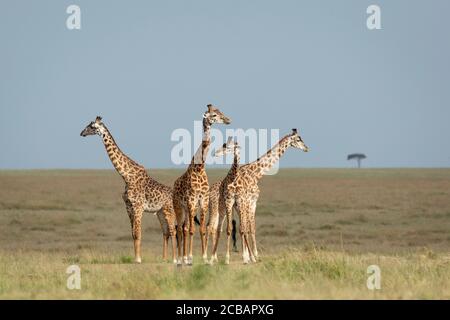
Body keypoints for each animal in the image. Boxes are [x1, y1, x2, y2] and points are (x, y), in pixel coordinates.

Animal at [80, 116, 178, 264]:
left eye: (92, 126)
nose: (82, 133)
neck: (126, 176)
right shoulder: (128, 207)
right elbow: (133, 233)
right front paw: (135, 258)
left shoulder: (138, 207)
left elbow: (138, 233)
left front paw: (138, 259)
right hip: (160, 212)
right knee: (166, 232)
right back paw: (164, 259)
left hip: (169, 210)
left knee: (173, 231)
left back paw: (175, 259)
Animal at [171, 105, 230, 264]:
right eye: (214, 115)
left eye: (221, 111)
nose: (228, 119)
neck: (199, 167)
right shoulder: (191, 201)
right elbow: (192, 230)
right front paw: (191, 257)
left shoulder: (202, 201)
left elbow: (202, 229)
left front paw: (204, 257)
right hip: (179, 207)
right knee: (181, 229)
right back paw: (181, 258)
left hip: (189, 209)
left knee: (185, 227)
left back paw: (184, 257)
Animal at [208, 136, 243, 264]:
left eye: (228, 147)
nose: (215, 153)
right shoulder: (228, 203)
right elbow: (229, 229)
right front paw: (227, 259)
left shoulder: (237, 204)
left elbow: (241, 228)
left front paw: (247, 257)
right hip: (217, 209)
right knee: (214, 228)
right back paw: (210, 258)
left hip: (221, 211)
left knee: (217, 229)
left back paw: (214, 257)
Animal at [223, 129, 308, 264]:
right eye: (299, 139)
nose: (306, 148)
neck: (256, 173)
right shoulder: (252, 202)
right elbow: (251, 228)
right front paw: (254, 255)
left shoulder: (241, 204)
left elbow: (245, 227)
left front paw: (248, 256)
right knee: (243, 227)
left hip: (231, 203)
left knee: (232, 227)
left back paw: (231, 258)